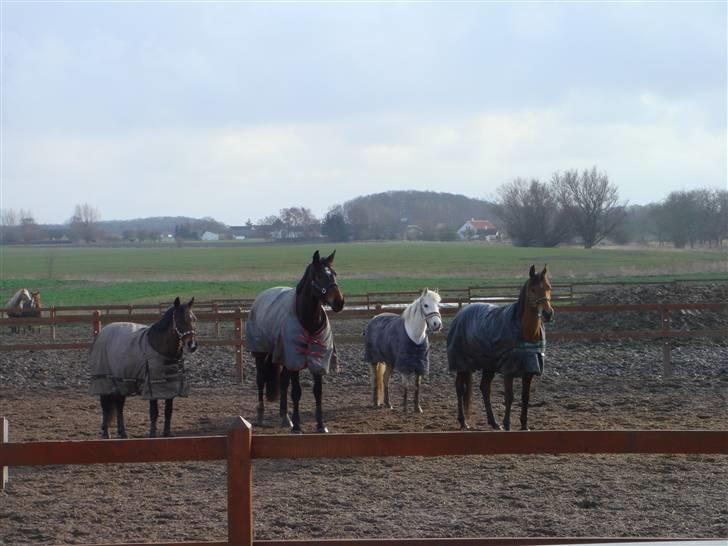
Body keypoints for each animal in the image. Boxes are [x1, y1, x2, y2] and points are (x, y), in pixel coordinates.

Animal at [88, 297, 197, 438]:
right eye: (178, 320)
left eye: (194, 319)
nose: (192, 345)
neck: (159, 346)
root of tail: (101, 333)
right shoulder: (152, 387)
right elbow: (154, 412)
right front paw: (152, 434)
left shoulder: (170, 387)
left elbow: (168, 411)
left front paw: (167, 434)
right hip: (104, 382)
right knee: (105, 406)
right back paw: (106, 434)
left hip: (121, 382)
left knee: (119, 405)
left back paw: (123, 433)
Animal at [246, 250, 344, 433]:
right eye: (319, 275)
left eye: (334, 274)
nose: (339, 302)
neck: (308, 321)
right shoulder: (295, 359)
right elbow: (297, 391)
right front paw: (298, 426)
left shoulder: (318, 359)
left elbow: (317, 391)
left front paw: (321, 425)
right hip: (261, 354)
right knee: (261, 380)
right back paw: (261, 416)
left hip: (282, 359)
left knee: (283, 383)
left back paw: (285, 417)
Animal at [447, 265, 554, 431]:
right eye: (533, 289)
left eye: (549, 287)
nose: (548, 314)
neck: (525, 332)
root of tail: (461, 313)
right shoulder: (508, 370)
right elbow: (509, 397)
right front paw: (507, 424)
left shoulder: (529, 370)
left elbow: (525, 397)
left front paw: (524, 425)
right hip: (462, 364)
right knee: (460, 388)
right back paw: (464, 422)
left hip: (488, 366)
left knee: (485, 388)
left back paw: (493, 422)